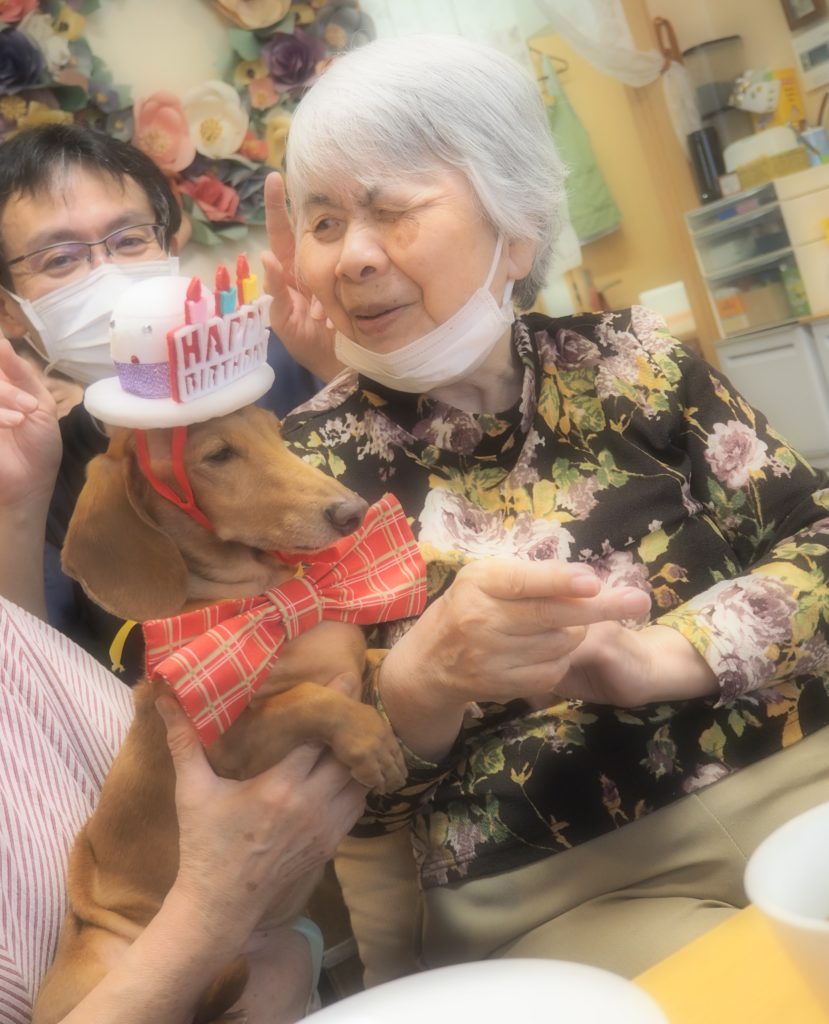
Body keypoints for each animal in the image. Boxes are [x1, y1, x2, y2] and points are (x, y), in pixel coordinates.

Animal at [32, 404, 407, 1024]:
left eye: (276, 431)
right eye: (218, 456)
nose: (352, 512)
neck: (271, 601)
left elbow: (376, 660)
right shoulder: (229, 745)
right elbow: (310, 700)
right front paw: (370, 742)